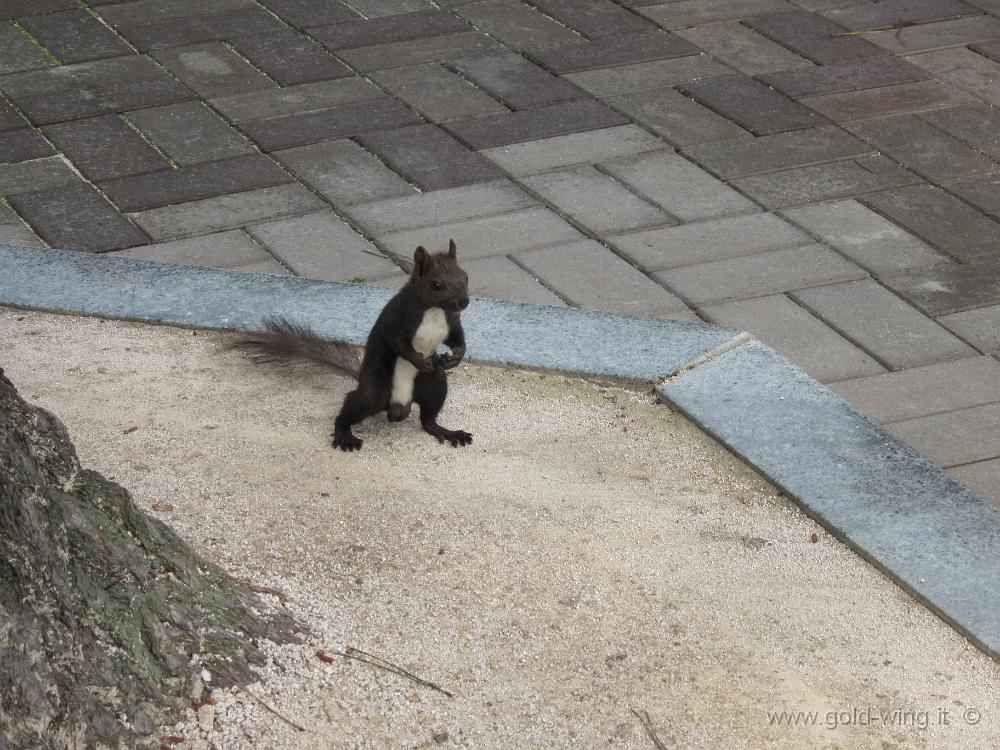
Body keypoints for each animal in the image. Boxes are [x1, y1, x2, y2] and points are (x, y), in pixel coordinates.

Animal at [234, 241, 472, 452]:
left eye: (465, 276)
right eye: (435, 284)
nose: (464, 303)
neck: (434, 310)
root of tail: (398, 405)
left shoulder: (451, 322)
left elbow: (457, 339)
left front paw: (455, 357)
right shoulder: (397, 319)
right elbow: (398, 343)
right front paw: (419, 361)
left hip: (434, 385)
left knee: (428, 418)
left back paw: (447, 432)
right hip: (375, 388)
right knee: (354, 403)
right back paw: (344, 435)